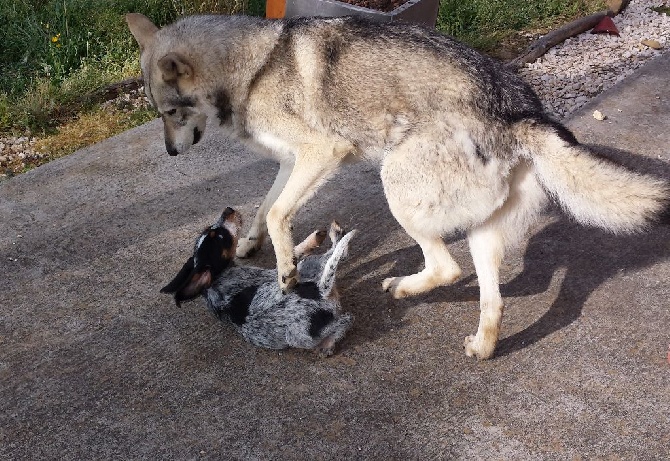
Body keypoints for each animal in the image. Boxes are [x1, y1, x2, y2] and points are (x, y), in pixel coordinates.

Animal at [161, 208, 356, 356]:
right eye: (218, 236)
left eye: (210, 231)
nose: (228, 210)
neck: (217, 280)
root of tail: (320, 290)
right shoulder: (278, 274)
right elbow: (294, 252)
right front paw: (312, 240)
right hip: (302, 324)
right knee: (346, 311)